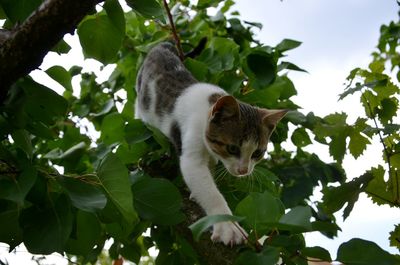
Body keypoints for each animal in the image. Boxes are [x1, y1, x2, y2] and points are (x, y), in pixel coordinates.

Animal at [135, 42, 288, 244]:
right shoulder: (191, 143)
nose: (243, 170)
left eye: (257, 153)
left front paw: (196, 192)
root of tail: (162, 45)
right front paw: (228, 226)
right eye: (232, 148)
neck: (208, 107)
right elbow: (208, 188)